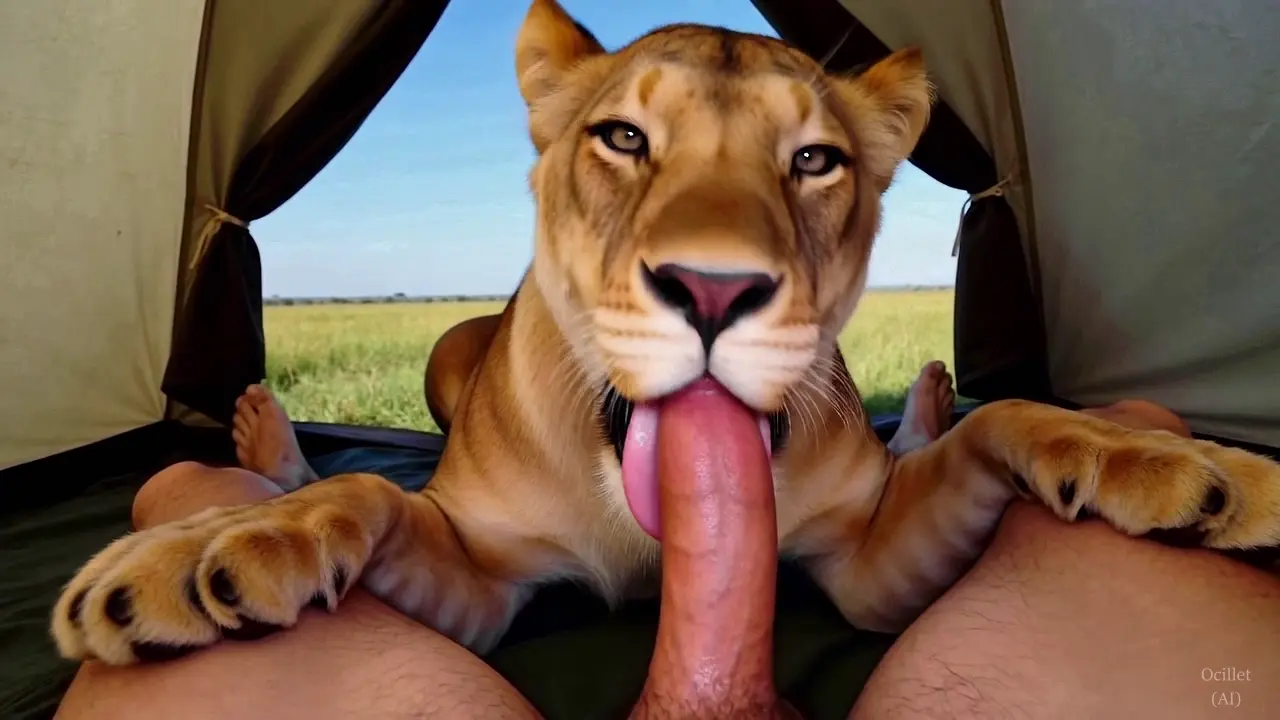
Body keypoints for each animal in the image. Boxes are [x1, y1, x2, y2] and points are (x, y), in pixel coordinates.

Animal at [52, 0, 1280, 674]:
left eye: (815, 160)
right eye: (624, 138)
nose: (711, 288)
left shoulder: (866, 567)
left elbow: (1010, 421)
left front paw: (1192, 468)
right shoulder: (482, 584)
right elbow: (363, 494)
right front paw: (192, 558)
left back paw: (931, 394)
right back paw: (259, 435)